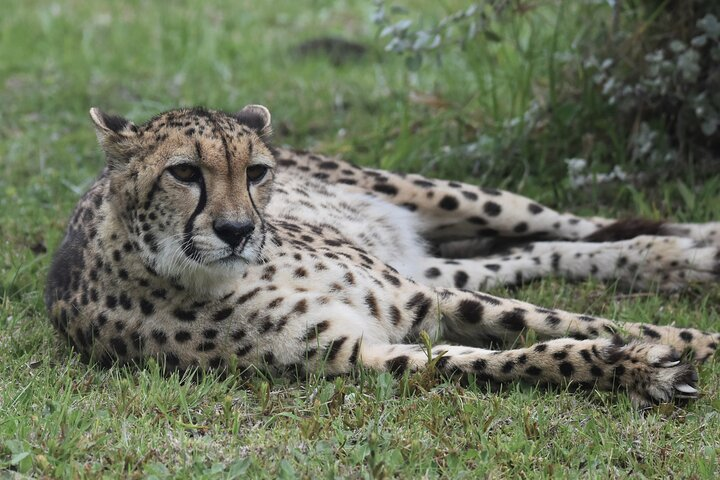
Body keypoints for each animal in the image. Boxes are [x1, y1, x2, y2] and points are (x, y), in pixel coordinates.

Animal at [45, 104, 720, 409]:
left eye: (256, 172)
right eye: (183, 172)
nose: (238, 230)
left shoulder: (425, 299)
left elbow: (562, 319)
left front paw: (690, 343)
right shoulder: (366, 350)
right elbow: (508, 359)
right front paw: (634, 367)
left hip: (446, 198)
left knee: (578, 225)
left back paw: (700, 243)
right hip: (431, 259)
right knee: (542, 253)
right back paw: (678, 261)